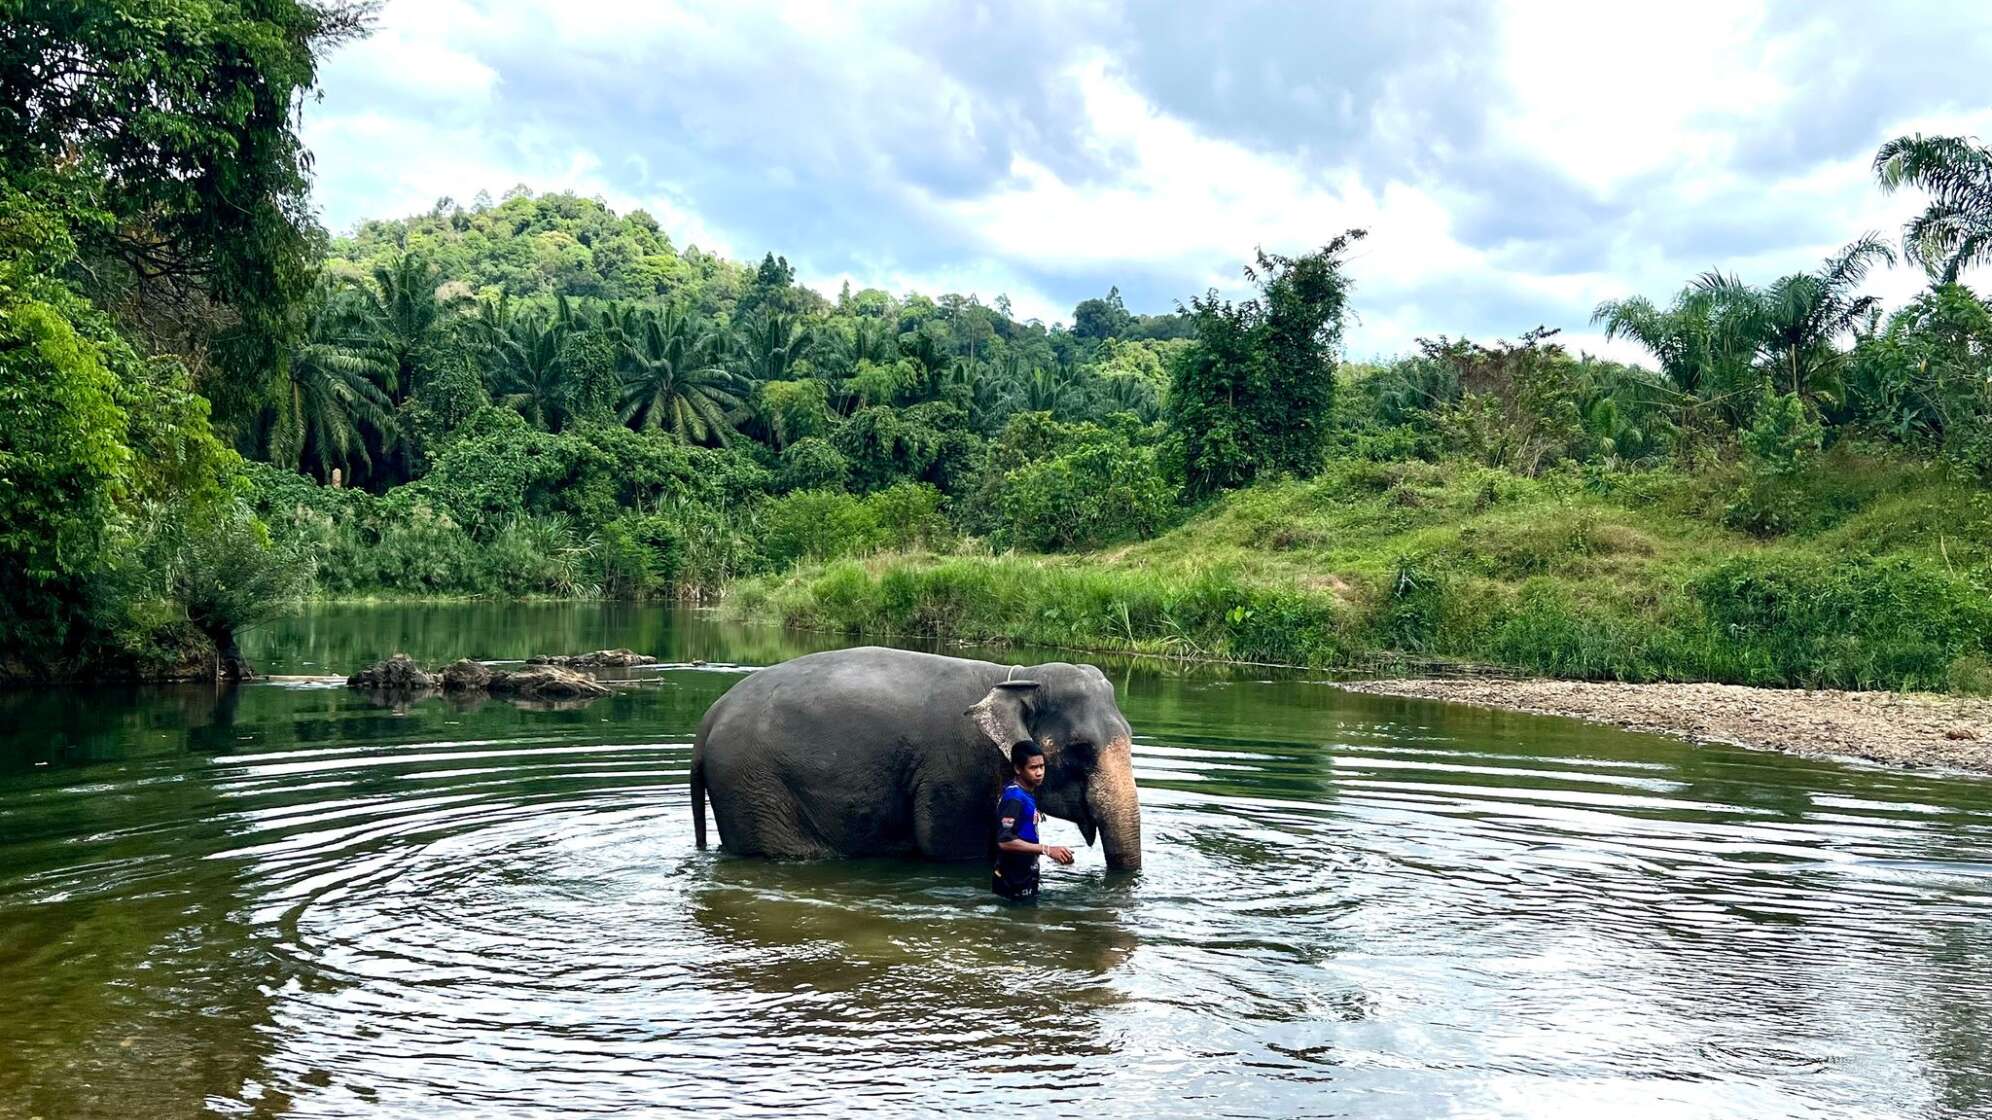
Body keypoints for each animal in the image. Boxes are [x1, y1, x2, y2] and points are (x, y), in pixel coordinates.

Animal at [693, 645, 1147, 872]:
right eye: (1081, 749)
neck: (1015, 678)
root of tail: (708, 720)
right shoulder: (955, 770)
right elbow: (950, 847)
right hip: (754, 786)